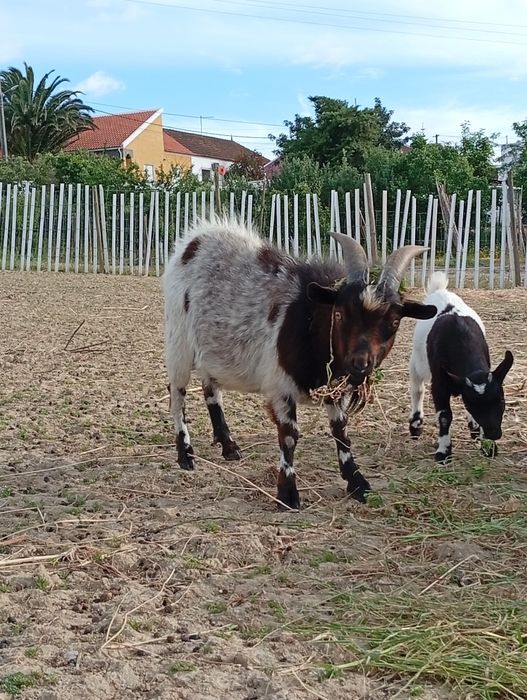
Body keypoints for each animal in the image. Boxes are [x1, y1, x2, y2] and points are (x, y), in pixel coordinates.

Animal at [164, 220, 436, 510]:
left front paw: (357, 483)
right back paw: (185, 455)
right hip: (178, 343)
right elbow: (289, 435)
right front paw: (288, 494)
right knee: (177, 395)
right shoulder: (281, 387)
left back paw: (229, 446)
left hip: (210, 352)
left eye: (394, 322)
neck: (309, 319)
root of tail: (195, 240)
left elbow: (340, 431)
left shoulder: (334, 387)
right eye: (339, 314)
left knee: (211, 389)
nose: (360, 363)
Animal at [408, 272, 514, 461]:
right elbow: (444, 416)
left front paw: (487, 446)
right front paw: (443, 452)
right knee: (417, 388)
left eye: (501, 400)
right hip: (417, 361)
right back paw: (416, 424)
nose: (494, 434)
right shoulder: (439, 382)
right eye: (473, 404)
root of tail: (440, 290)